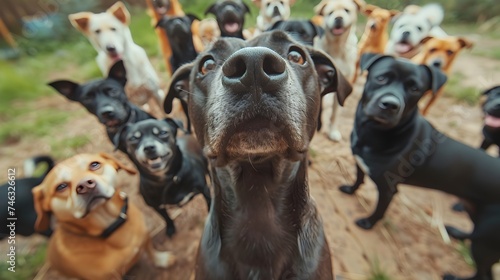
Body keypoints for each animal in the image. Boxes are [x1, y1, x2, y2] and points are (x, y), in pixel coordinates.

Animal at [312, 0, 364, 142]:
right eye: (330, 12)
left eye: (346, 10)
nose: (338, 18)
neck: (336, 47)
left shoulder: (341, 86)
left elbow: (335, 112)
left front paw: (333, 131)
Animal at [342, 53, 500, 280]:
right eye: (381, 78)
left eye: (415, 89)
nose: (390, 105)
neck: (373, 133)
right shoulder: (359, 162)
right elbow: (358, 178)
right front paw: (350, 189)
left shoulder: (388, 189)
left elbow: (379, 210)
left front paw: (368, 223)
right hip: (478, 220)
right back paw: (458, 233)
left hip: (485, 242)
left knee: (482, 273)